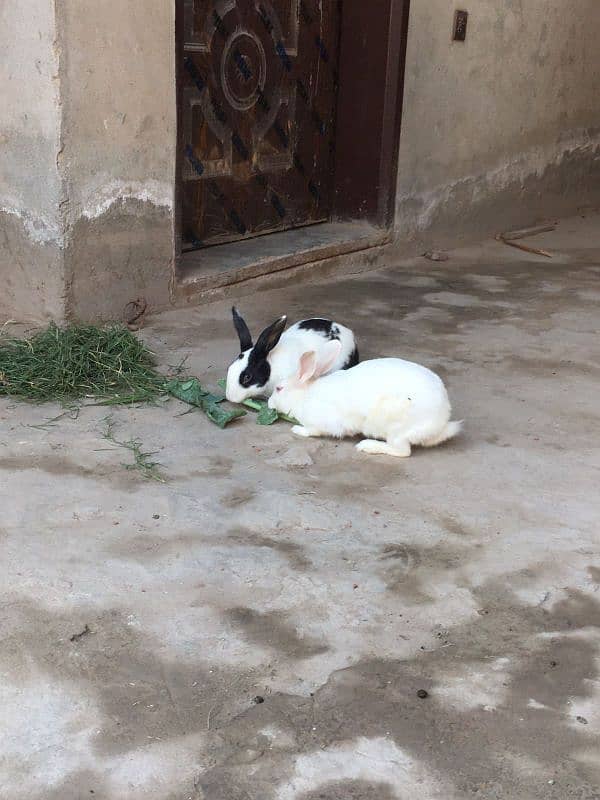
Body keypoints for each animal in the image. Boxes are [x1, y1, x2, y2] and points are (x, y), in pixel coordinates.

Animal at [268, 340, 464, 456]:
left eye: (279, 388)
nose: (269, 403)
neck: (304, 396)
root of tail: (441, 423)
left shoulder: (322, 423)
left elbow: (312, 431)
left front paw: (297, 429)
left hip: (396, 428)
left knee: (402, 451)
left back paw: (367, 445)